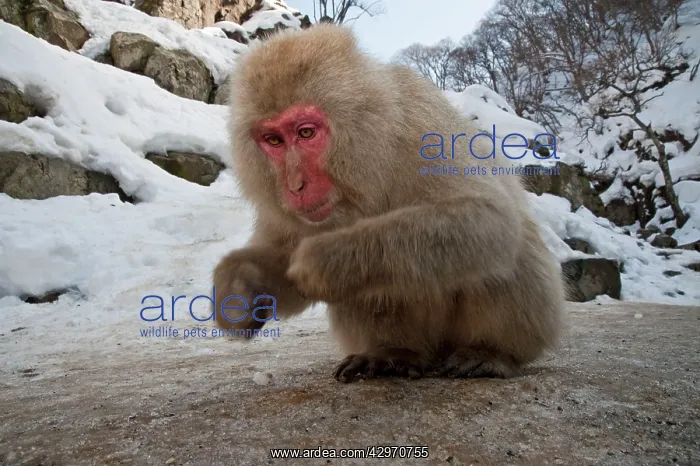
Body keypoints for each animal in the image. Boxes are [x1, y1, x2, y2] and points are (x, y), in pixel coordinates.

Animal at [212, 24, 564, 383]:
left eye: (306, 132)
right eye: (274, 140)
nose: (295, 185)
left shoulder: (422, 128)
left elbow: (490, 220)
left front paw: (330, 259)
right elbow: (281, 256)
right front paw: (242, 283)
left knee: (506, 249)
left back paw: (492, 352)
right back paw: (393, 352)